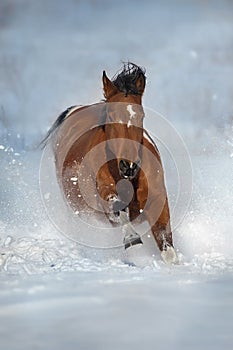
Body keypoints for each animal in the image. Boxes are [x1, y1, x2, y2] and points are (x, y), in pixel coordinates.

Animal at [42, 63, 177, 266]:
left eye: (141, 116)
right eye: (111, 115)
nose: (128, 166)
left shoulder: (158, 200)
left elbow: (166, 245)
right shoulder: (106, 198)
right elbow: (117, 206)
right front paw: (131, 238)